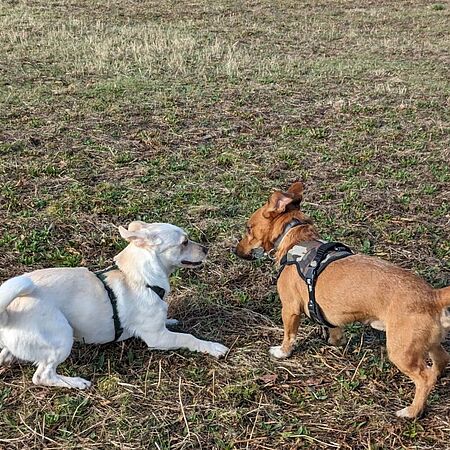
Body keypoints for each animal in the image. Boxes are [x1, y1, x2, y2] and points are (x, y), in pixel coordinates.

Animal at [0, 221, 228, 389]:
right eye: (184, 242)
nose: (207, 248)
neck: (139, 278)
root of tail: (7, 314)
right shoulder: (158, 338)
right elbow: (189, 338)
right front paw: (213, 347)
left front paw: (170, 319)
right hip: (62, 335)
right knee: (42, 375)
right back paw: (76, 383)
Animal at [235, 181, 450, 418]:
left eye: (249, 228)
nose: (235, 251)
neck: (296, 240)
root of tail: (433, 295)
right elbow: (334, 328)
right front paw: (334, 341)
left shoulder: (290, 309)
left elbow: (289, 336)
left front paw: (282, 352)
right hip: (429, 343)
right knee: (441, 360)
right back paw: (436, 378)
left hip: (401, 351)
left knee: (424, 378)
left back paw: (411, 411)